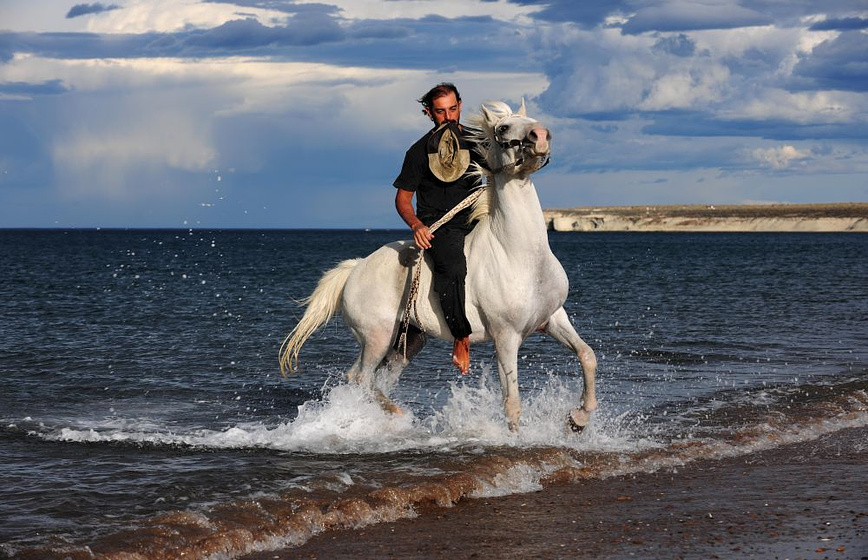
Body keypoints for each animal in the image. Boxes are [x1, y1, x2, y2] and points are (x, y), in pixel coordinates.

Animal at [280, 101, 596, 434]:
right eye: (503, 128)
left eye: (530, 119)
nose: (541, 135)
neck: (519, 254)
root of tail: (355, 270)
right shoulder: (506, 337)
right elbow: (512, 403)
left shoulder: (553, 318)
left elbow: (587, 356)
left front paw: (578, 418)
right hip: (377, 338)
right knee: (362, 378)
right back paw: (398, 414)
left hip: (406, 343)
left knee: (364, 378)